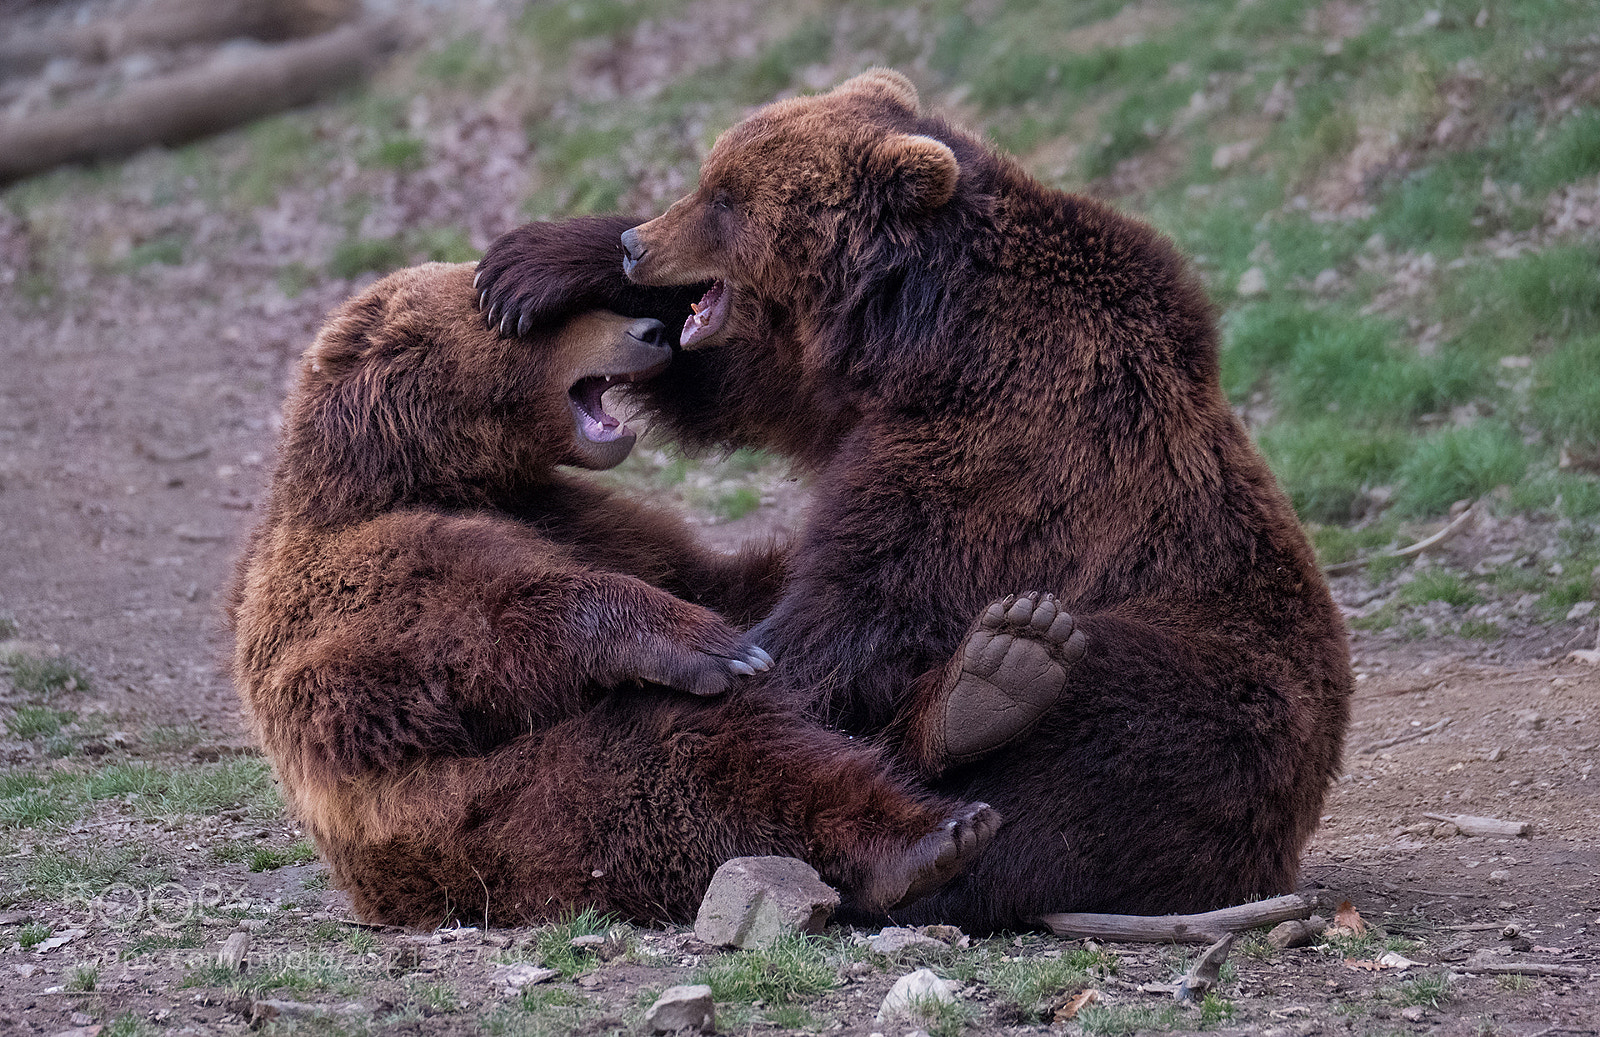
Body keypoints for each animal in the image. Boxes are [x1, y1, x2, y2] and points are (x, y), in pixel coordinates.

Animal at [227, 260, 1009, 928]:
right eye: (534, 319)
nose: (651, 331)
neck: (433, 476)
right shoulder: (340, 578)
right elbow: (424, 651)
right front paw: (708, 646)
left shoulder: (586, 516)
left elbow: (723, 577)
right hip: (511, 820)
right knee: (691, 764)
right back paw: (928, 834)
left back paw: (990, 680)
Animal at [472, 68, 1354, 933]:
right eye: (708, 176)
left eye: (726, 198)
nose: (639, 244)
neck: (924, 330)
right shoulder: (839, 391)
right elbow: (737, 375)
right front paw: (528, 265)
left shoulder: (1003, 439)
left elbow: (864, 600)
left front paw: (734, 656)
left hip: (1215, 691)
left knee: (1093, 726)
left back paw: (987, 691)